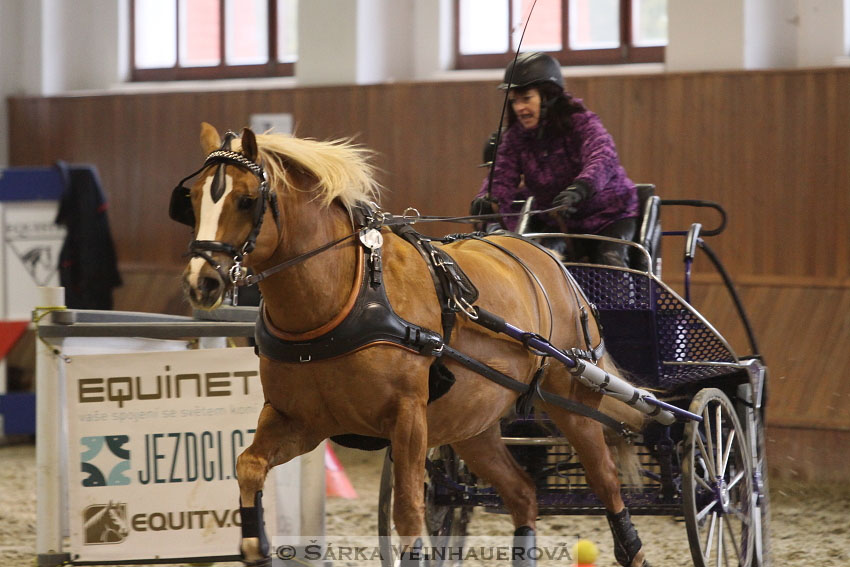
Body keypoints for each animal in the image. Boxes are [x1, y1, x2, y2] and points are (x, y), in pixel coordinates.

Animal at [172, 124, 648, 567]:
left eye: (246, 199)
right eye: (191, 199)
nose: (201, 281)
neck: (344, 300)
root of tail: (554, 264)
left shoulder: (408, 417)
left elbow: (407, 512)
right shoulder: (300, 419)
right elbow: (248, 466)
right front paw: (255, 546)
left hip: (573, 403)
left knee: (607, 480)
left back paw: (632, 548)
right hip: (472, 424)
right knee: (522, 493)